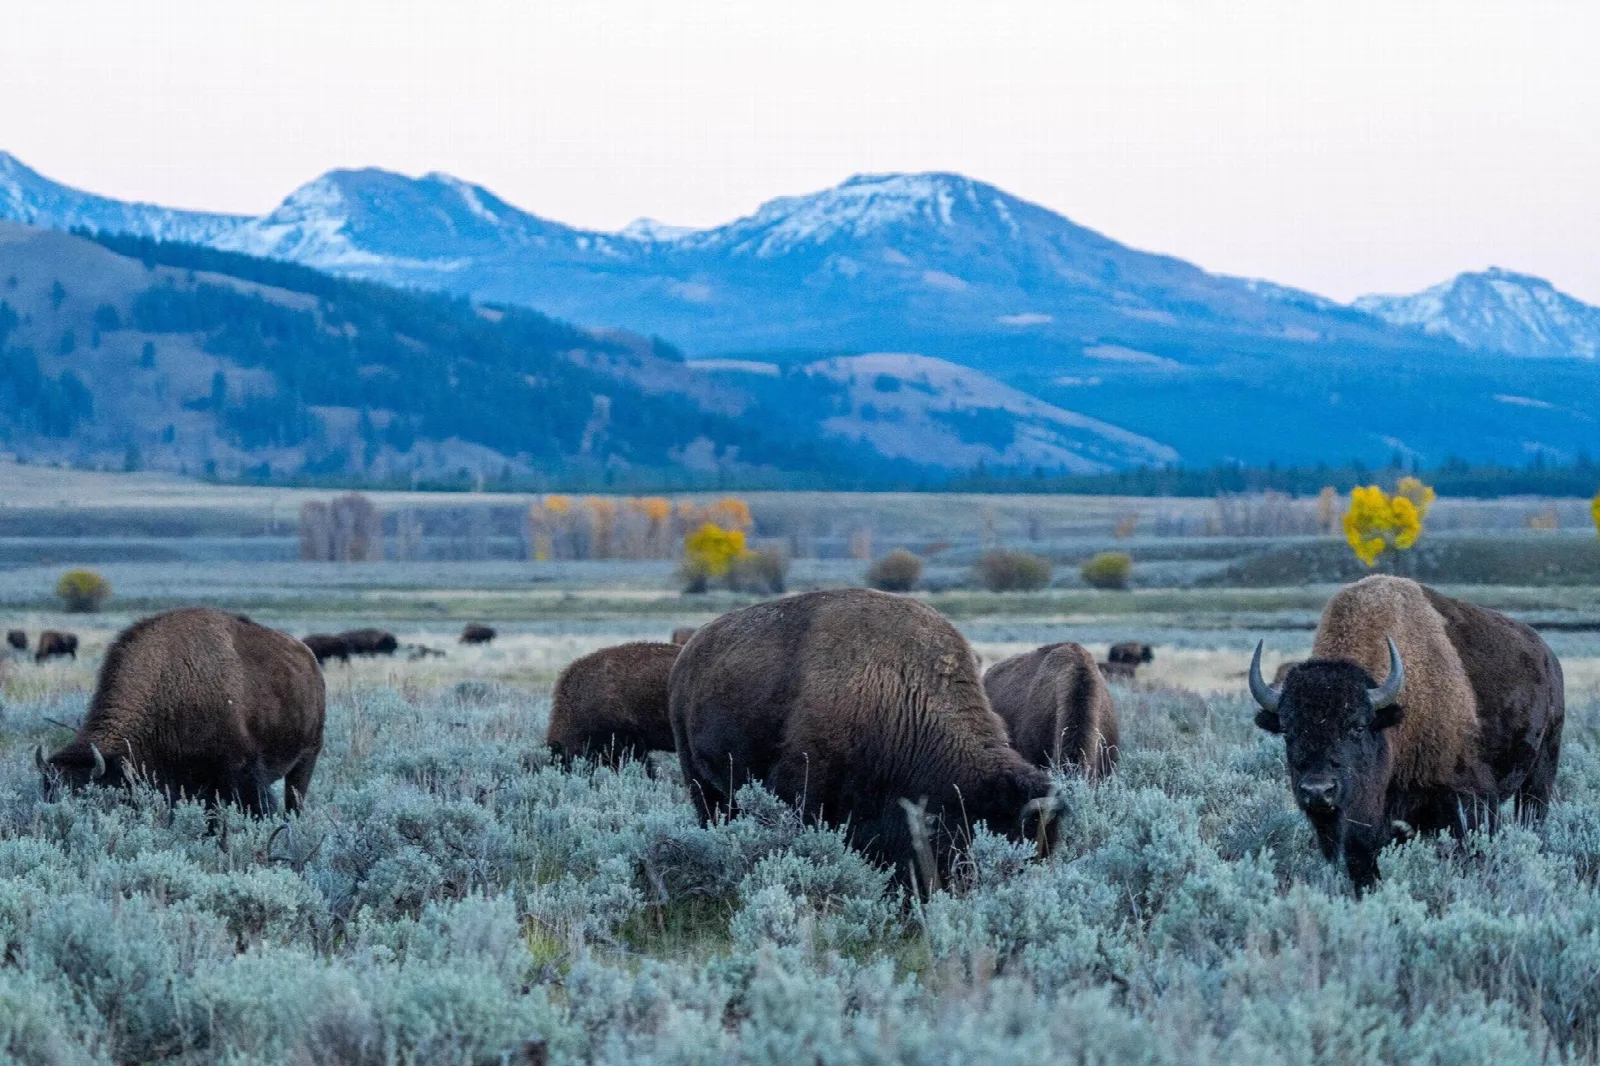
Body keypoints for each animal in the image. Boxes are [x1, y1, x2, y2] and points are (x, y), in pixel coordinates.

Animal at [37, 607, 325, 815]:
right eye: (47, 793)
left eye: (85, 796)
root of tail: (309, 659)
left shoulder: (241, 772)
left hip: (307, 758)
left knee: (295, 801)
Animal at [1249, 575, 1564, 889]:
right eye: (1287, 730)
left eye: (1358, 726)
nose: (1318, 790)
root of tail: (1547, 656)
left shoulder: (1470, 799)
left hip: (1541, 772)